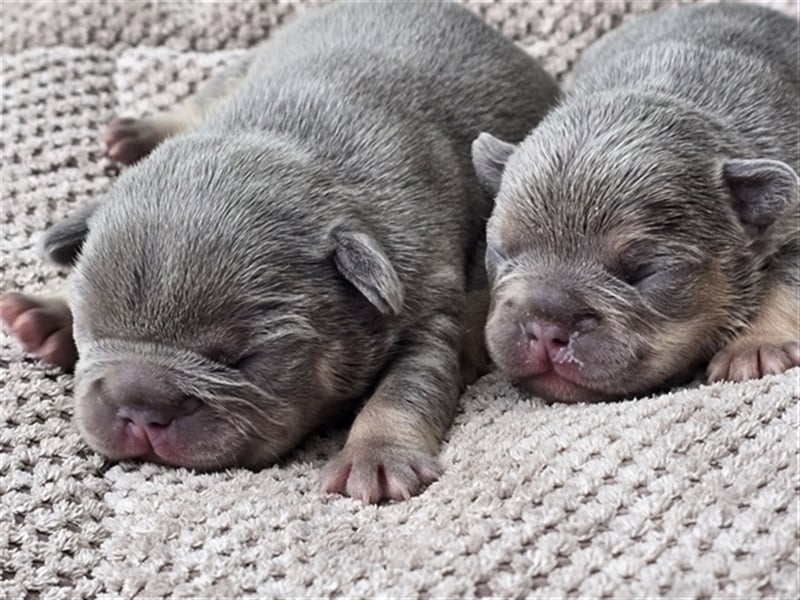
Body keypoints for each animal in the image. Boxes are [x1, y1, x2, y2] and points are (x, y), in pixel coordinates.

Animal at [0, 2, 560, 504]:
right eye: (92, 332)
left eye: (245, 359)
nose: (140, 408)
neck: (285, 142)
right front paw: (54, 309)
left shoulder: (426, 307)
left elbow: (403, 389)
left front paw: (375, 457)